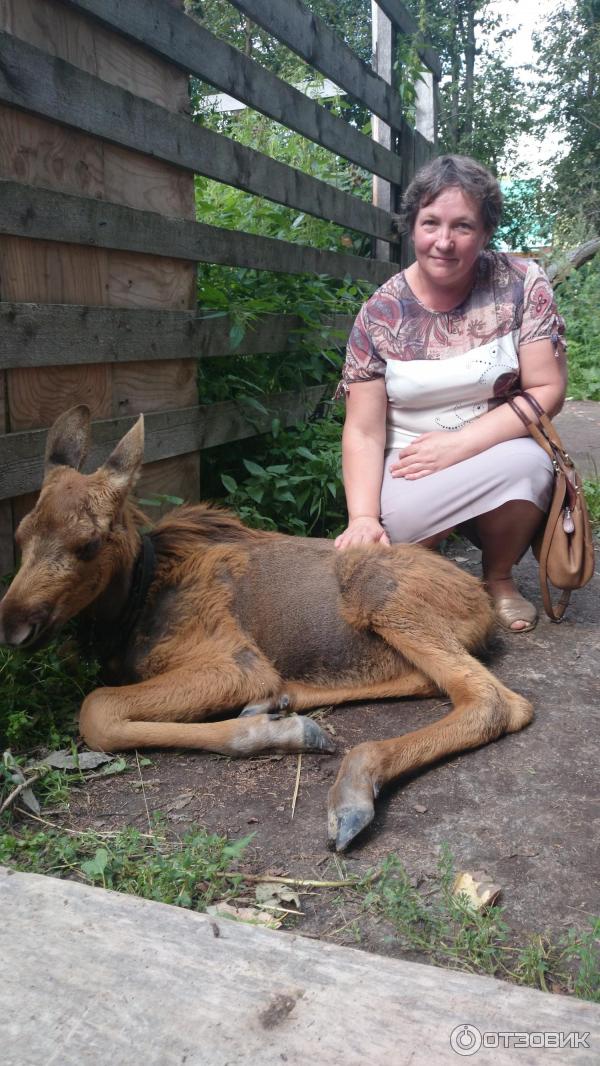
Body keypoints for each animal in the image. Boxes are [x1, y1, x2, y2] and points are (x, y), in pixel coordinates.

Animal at [1, 405, 534, 848]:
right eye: (20, 536)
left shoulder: (236, 664)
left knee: (496, 701)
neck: (132, 607)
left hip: (380, 597)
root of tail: (482, 602)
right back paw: (287, 703)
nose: (12, 626)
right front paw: (277, 720)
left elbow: (98, 711)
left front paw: (279, 734)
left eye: (88, 544)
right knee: (433, 682)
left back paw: (351, 783)